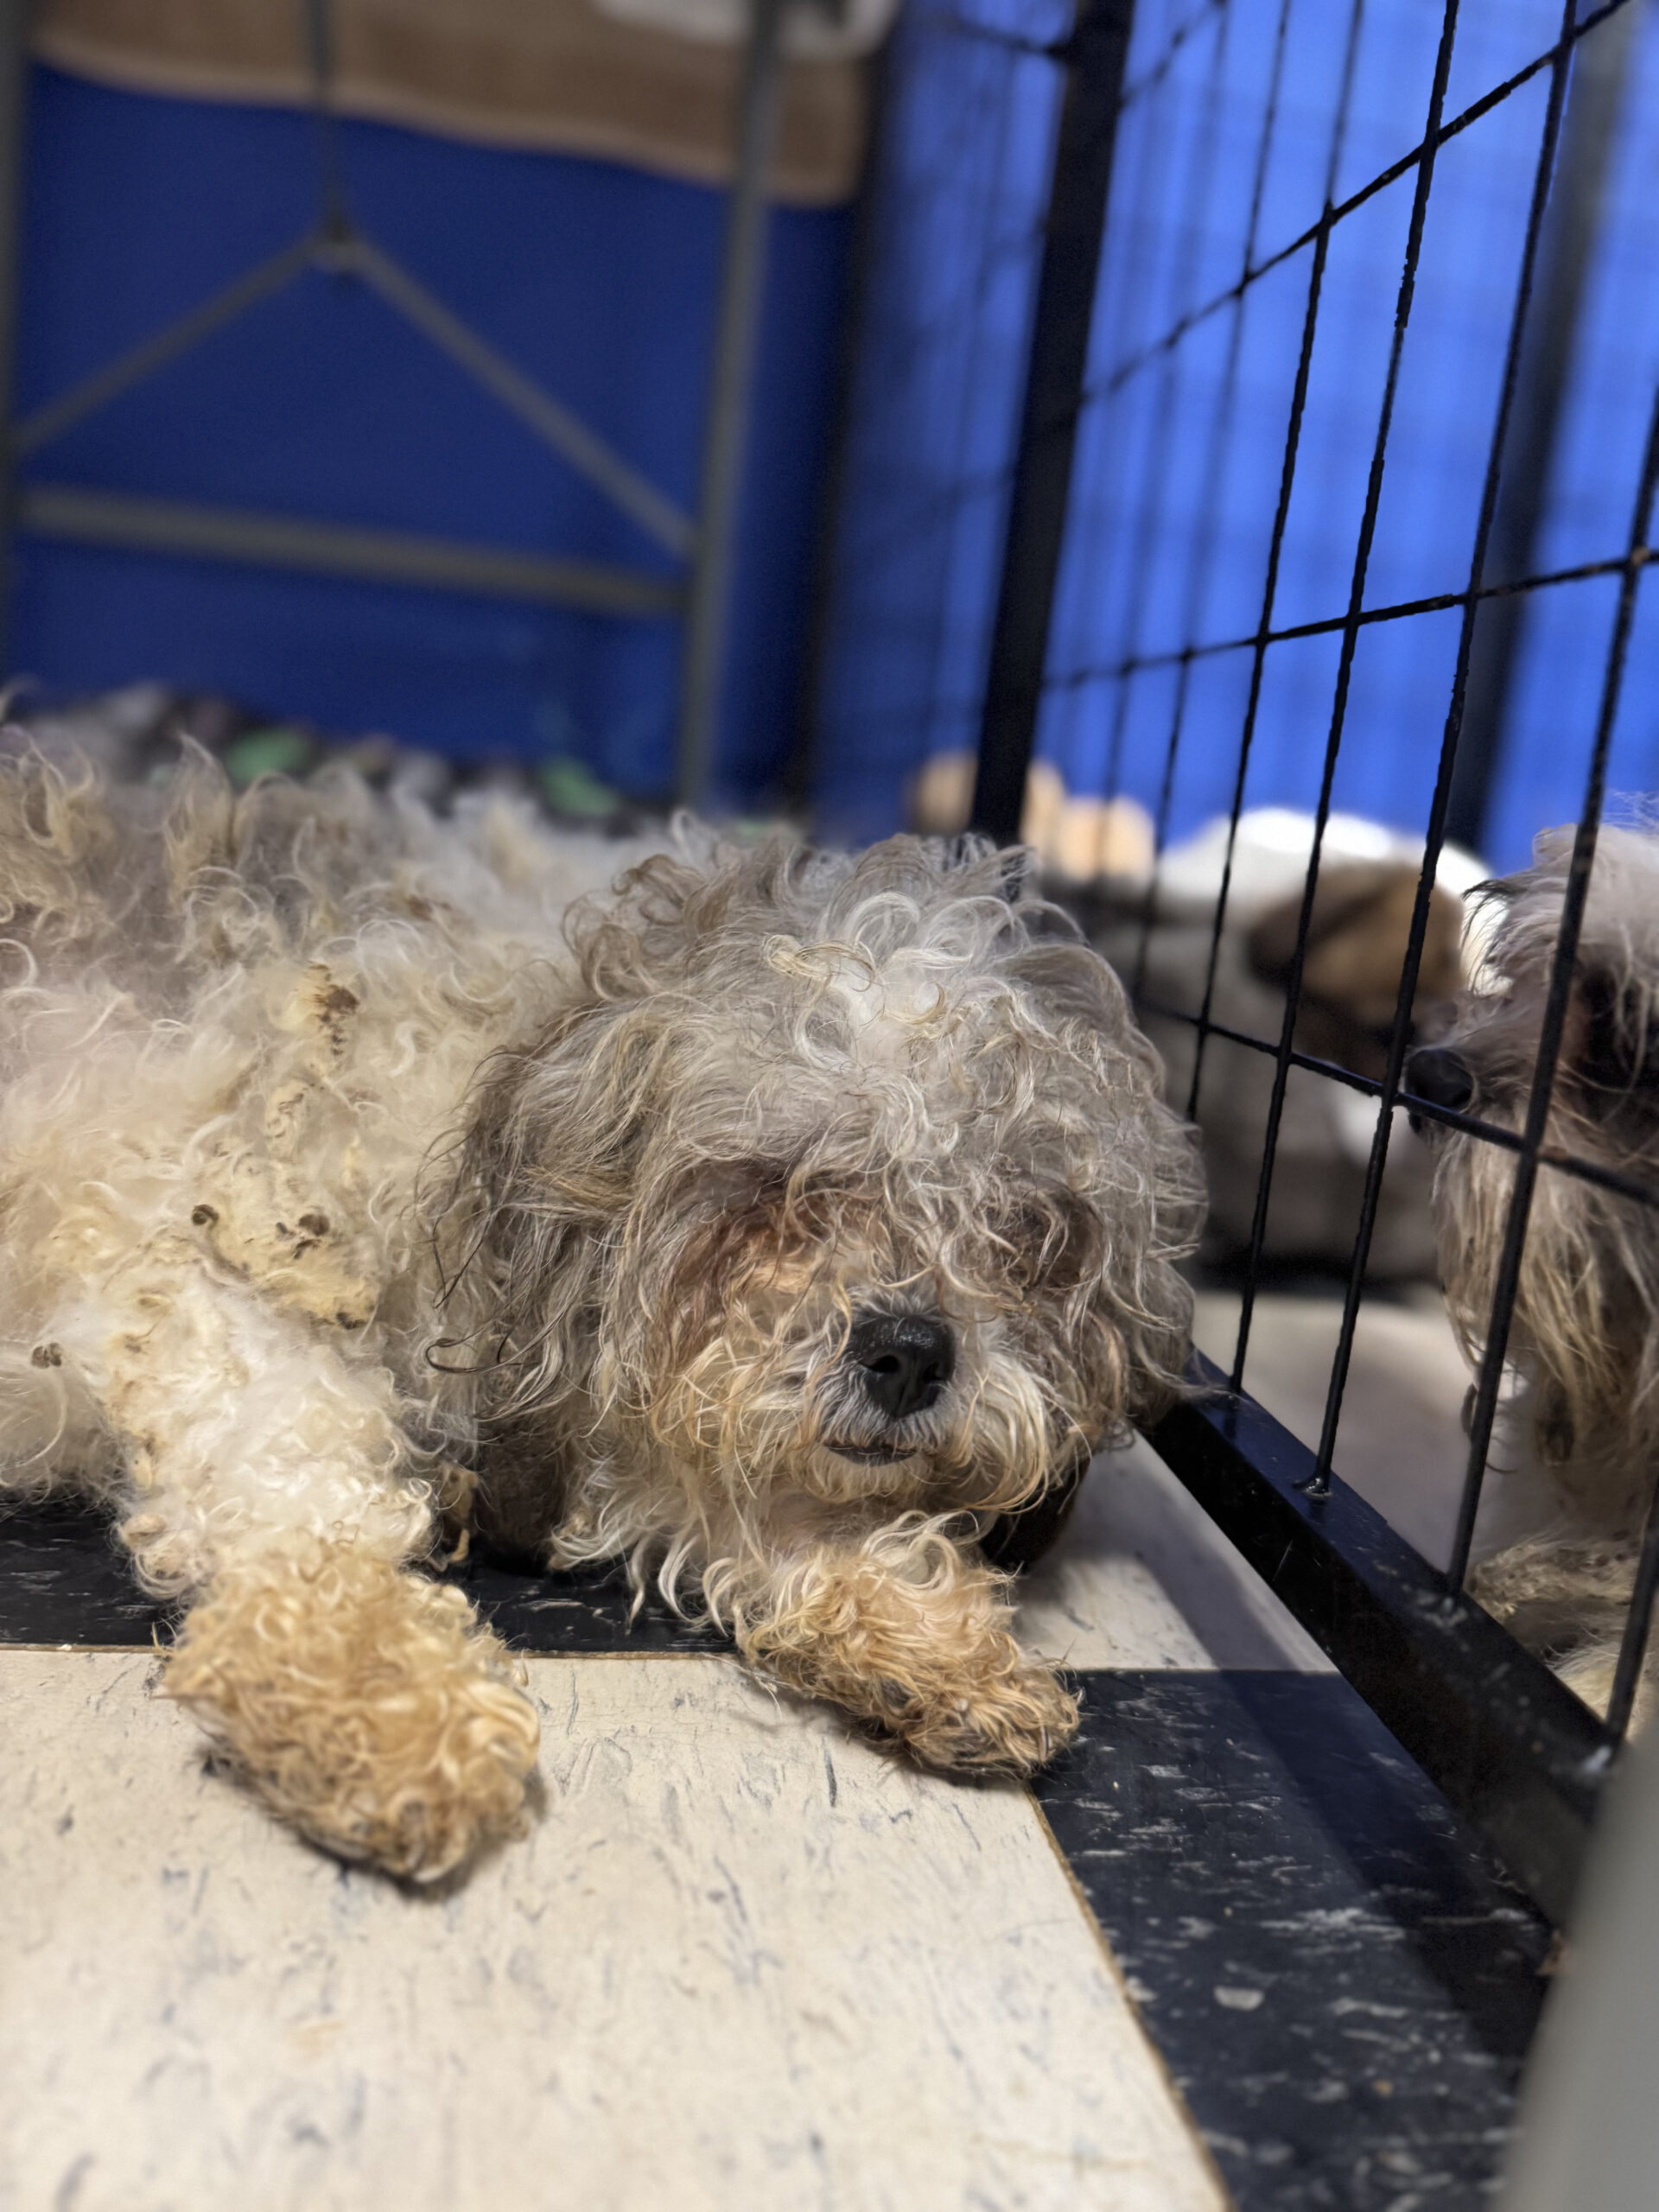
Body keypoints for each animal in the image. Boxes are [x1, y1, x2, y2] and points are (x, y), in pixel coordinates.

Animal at [0, 746, 1201, 1876]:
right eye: (781, 1186)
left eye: (1028, 1227)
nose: (909, 1352)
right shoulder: (208, 1266)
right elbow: (304, 1506)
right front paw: (391, 1713)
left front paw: (926, 1642)